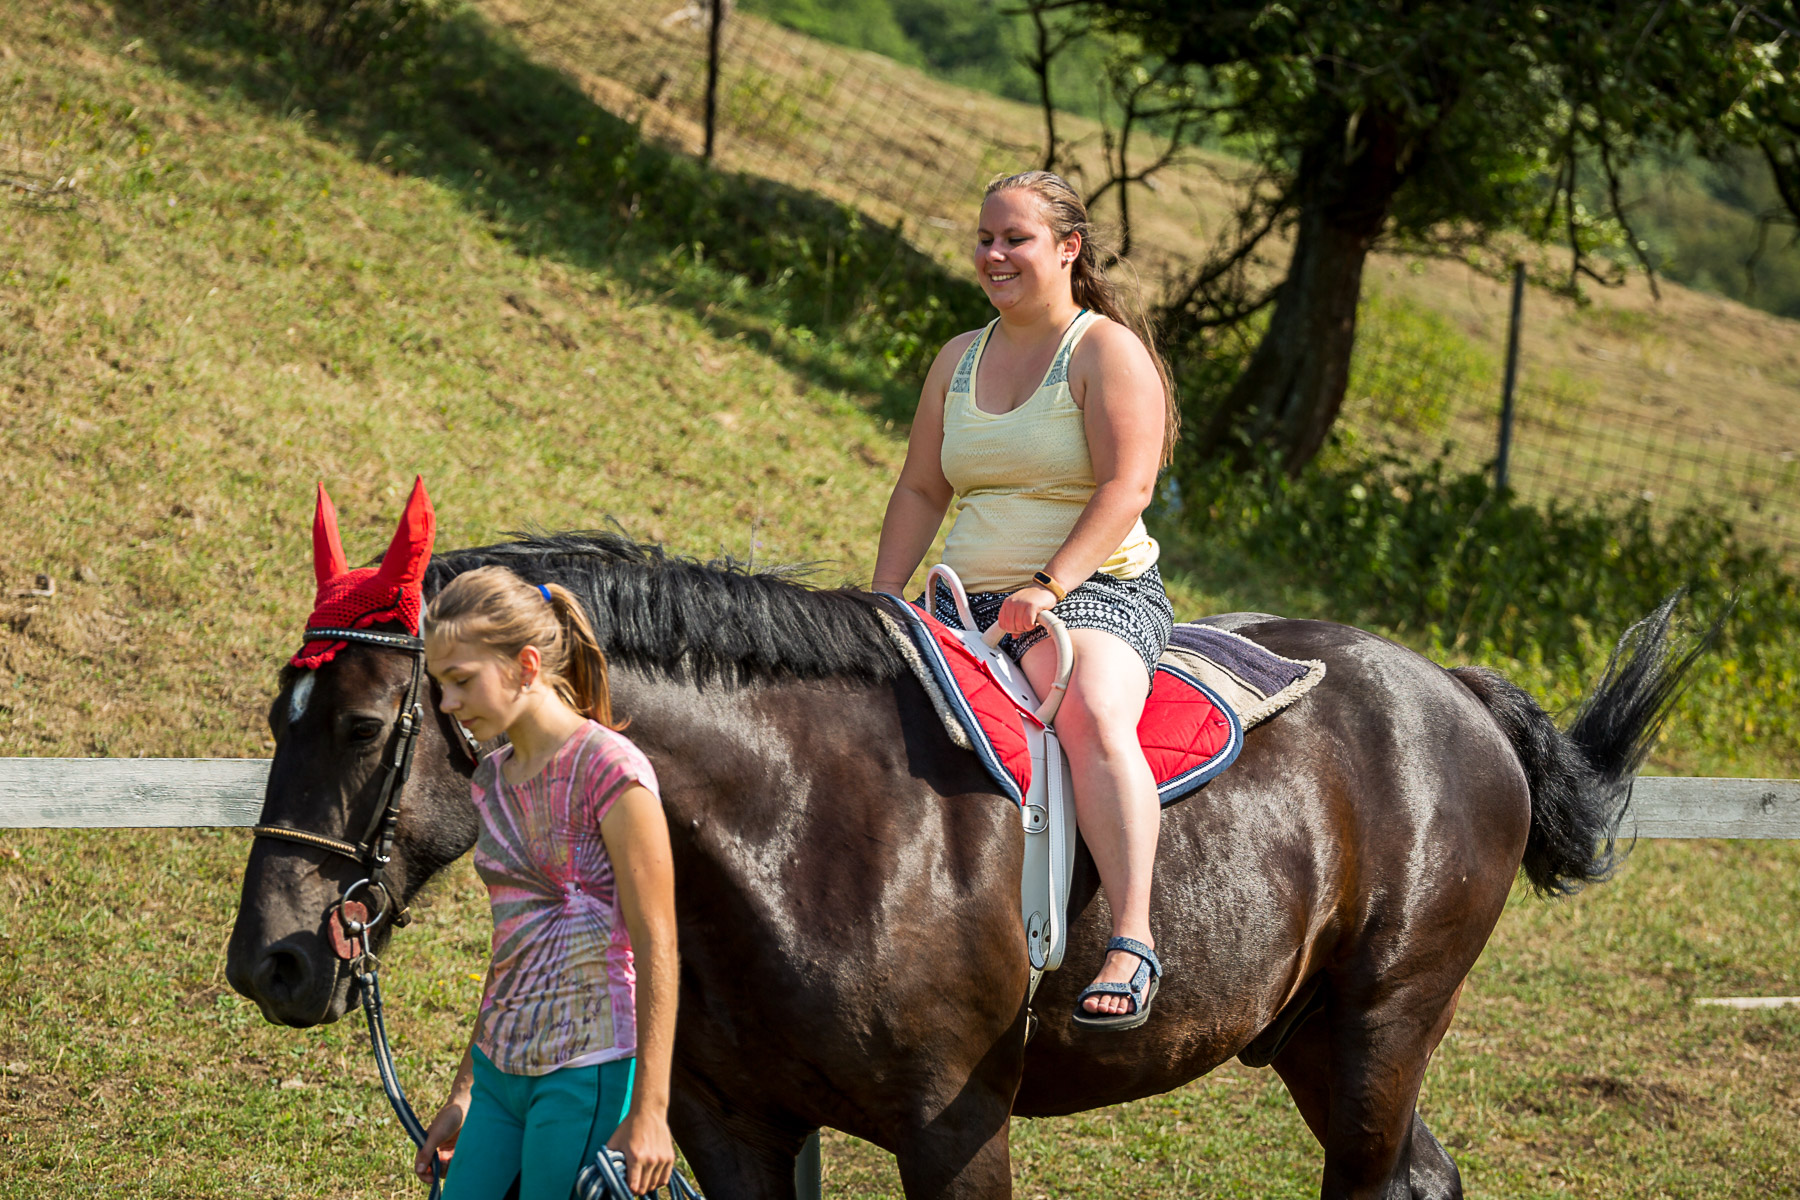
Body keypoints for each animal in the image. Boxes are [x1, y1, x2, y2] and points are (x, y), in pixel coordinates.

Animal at [226, 526, 1706, 1199]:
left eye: (358, 725)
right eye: (275, 717)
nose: (274, 959)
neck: (800, 829)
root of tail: (1455, 694)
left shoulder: (956, 1132)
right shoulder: (736, 1130)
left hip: (1384, 1030)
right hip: (1313, 1040)